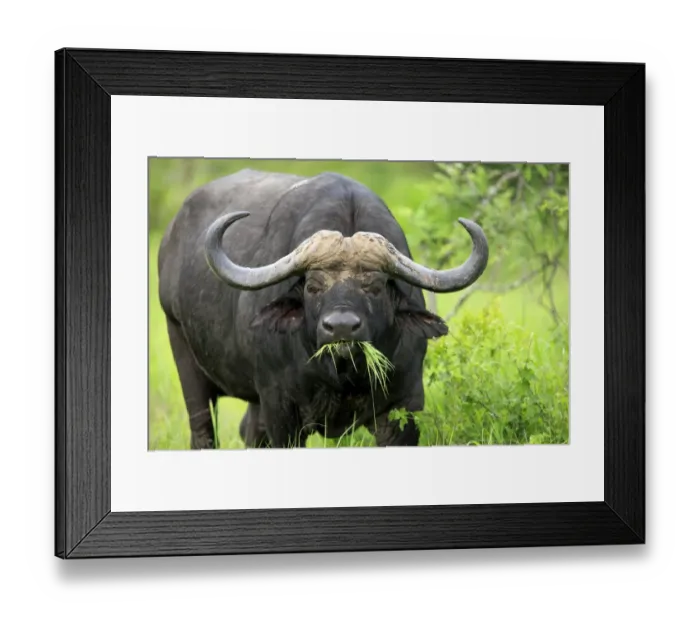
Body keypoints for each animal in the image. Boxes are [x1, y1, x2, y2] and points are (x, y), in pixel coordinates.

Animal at [157, 169, 488, 449]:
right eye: (312, 287)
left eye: (375, 286)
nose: (341, 327)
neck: (342, 376)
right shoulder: (280, 408)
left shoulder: (406, 404)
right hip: (183, 352)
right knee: (203, 431)